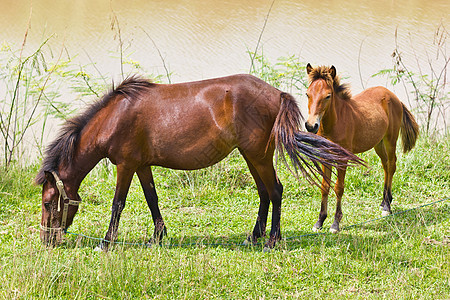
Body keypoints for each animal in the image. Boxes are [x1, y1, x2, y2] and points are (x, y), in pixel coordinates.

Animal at [36, 73, 366, 251]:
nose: (46, 240)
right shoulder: (142, 165)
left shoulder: (126, 166)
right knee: (264, 192)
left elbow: (118, 203)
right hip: (251, 155)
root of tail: (276, 93)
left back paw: (272, 239)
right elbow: (152, 199)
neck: (115, 117)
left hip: (258, 155)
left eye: (48, 202)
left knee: (275, 191)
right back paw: (254, 236)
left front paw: (105, 242)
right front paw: (158, 236)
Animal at [304, 62, 420, 232]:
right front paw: (319, 221)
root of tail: (394, 97)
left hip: (390, 140)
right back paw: (384, 201)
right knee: (385, 166)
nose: (311, 126)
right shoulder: (325, 155)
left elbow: (338, 187)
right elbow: (325, 186)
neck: (335, 122)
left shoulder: (342, 157)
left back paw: (387, 207)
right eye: (307, 94)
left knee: (392, 165)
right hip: (378, 143)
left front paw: (335, 223)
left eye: (328, 96)